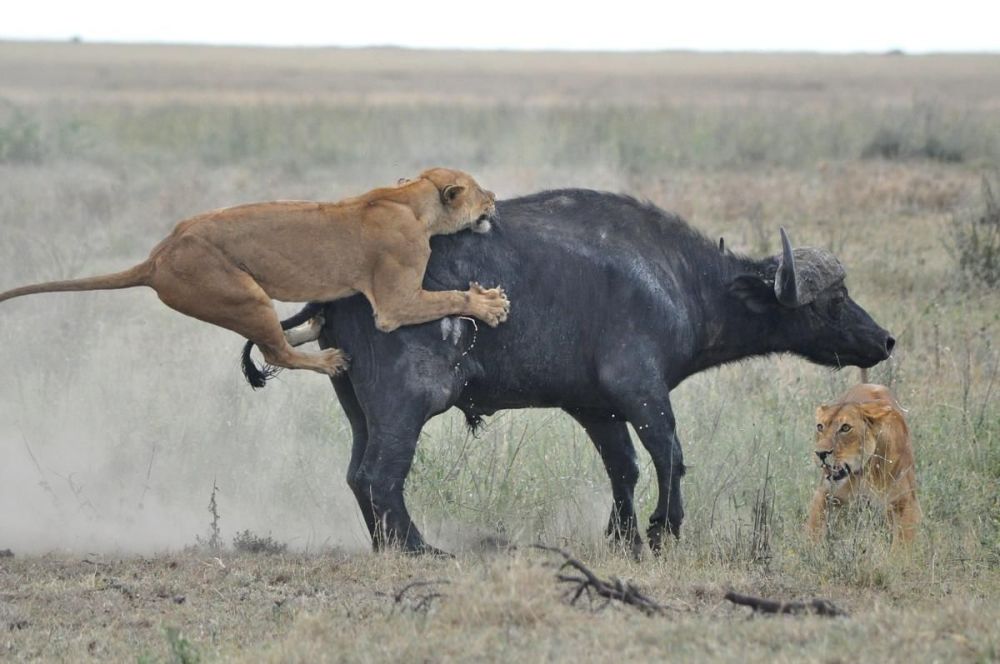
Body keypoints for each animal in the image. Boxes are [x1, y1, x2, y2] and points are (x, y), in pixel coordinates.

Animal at [246, 191, 896, 556]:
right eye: (832, 301)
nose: (885, 340)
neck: (681, 278)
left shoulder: (596, 408)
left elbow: (623, 468)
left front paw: (624, 536)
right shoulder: (641, 390)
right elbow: (669, 455)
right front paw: (662, 531)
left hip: (359, 407)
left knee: (359, 475)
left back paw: (388, 546)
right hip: (408, 402)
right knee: (380, 476)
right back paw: (418, 549)